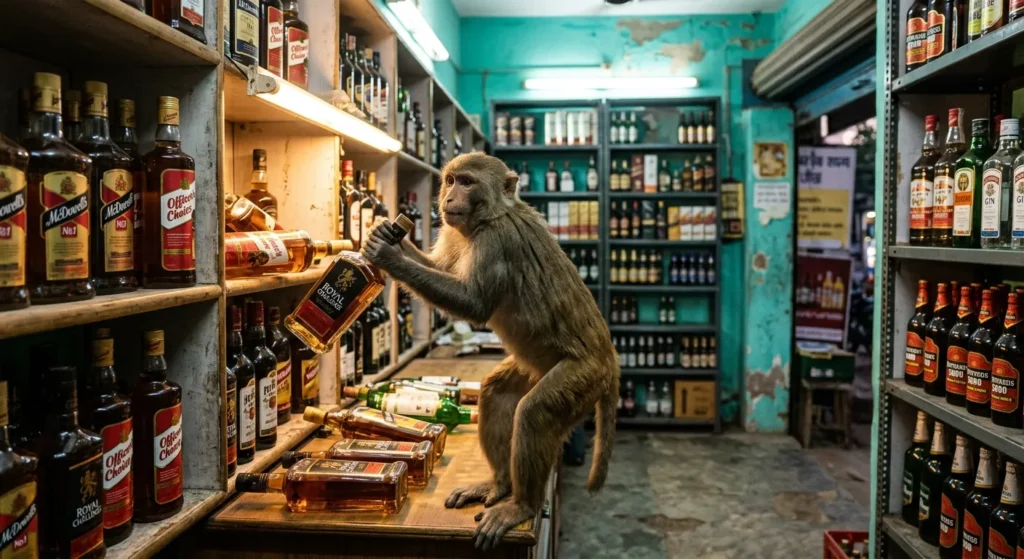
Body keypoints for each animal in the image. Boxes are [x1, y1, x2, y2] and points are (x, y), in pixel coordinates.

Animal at [361, 153, 619, 551]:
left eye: (467, 182)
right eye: (450, 180)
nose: (449, 198)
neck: (491, 216)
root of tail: (610, 359)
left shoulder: (496, 242)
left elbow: (474, 303)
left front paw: (388, 256)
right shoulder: (457, 232)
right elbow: (439, 269)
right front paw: (385, 233)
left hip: (584, 376)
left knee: (533, 413)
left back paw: (523, 505)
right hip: (540, 367)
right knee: (496, 393)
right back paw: (499, 484)